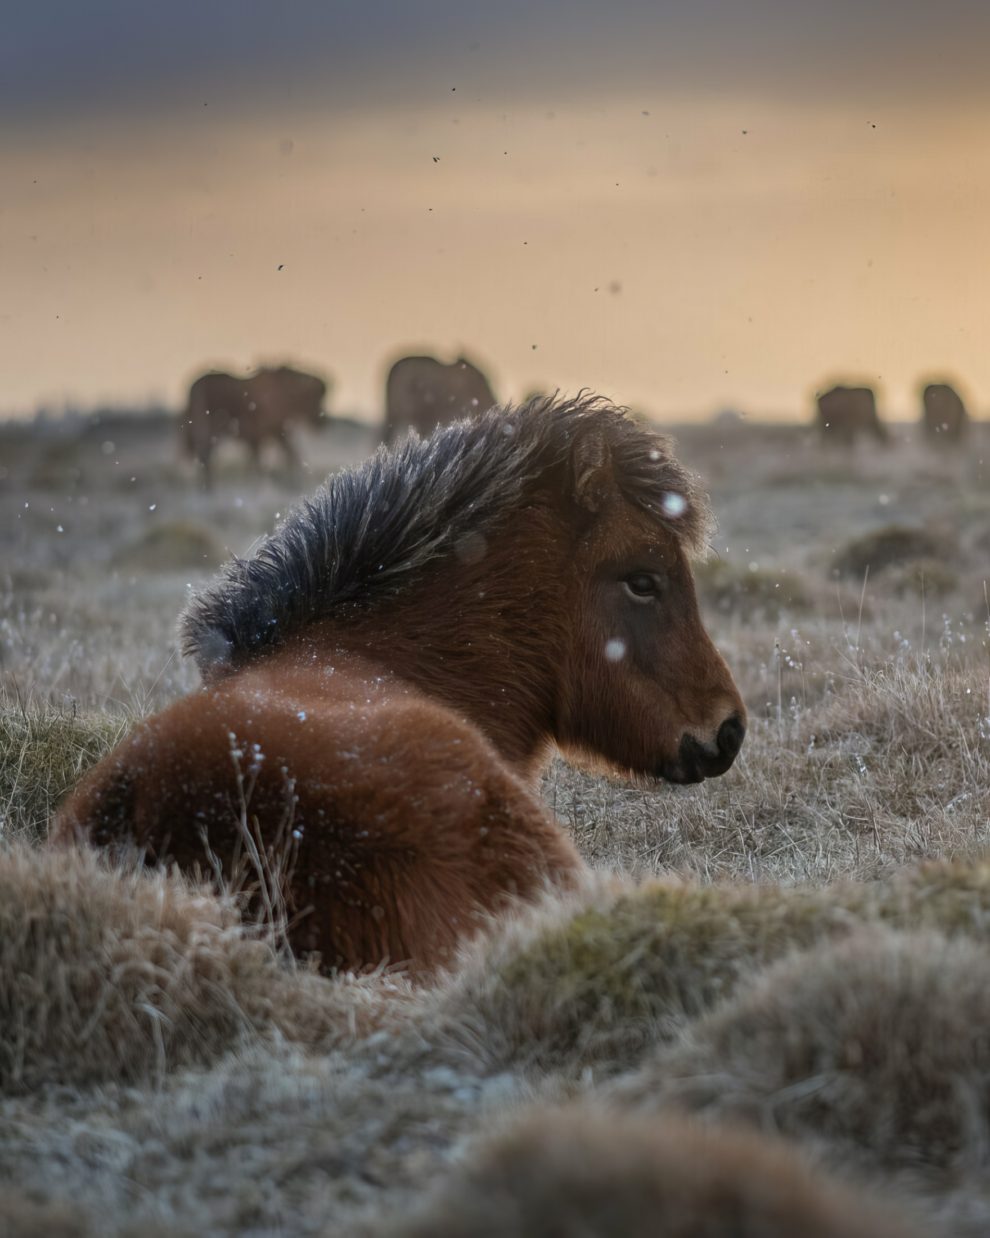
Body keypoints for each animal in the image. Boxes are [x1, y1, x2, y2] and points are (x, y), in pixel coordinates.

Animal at [181, 363, 329, 485]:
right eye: (315, 398)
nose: (322, 420)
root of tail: (193, 388)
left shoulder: (273, 433)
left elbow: (288, 454)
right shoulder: (262, 434)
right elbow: (268, 459)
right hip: (208, 429)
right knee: (205, 455)